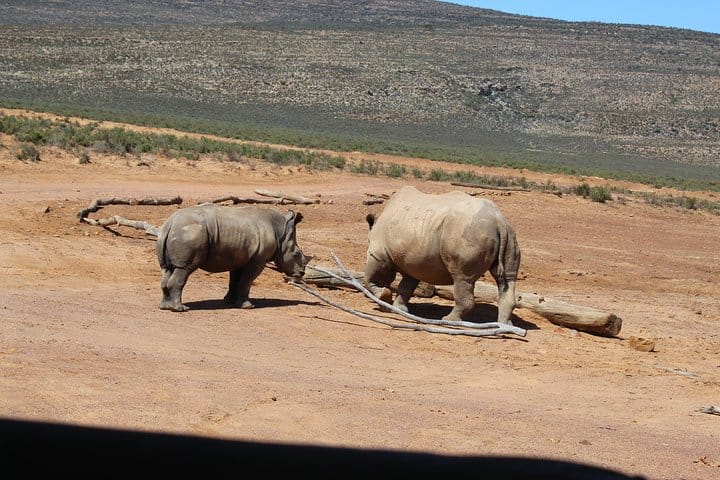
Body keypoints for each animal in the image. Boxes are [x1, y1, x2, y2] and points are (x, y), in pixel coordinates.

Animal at [156, 204, 310, 312]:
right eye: (296, 253)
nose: (301, 273)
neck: (281, 232)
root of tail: (170, 223)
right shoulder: (258, 259)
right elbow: (246, 281)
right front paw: (247, 306)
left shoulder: (238, 257)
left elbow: (235, 281)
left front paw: (229, 301)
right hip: (190, 233)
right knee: (184, 269)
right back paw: (180, 309)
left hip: (173, 233)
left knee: (167, 269)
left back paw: (165, 307)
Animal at [364, 185, 521, 325]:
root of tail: (498, 221)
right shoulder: (412, 262)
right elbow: (406, 286)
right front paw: (399, 309)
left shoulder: (378, 254)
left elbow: (368, 278)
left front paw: (383, 297)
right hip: (507, 234)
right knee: (507, 279)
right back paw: (504, 326)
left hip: (468, 232)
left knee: (462, 278)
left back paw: (448, 320)